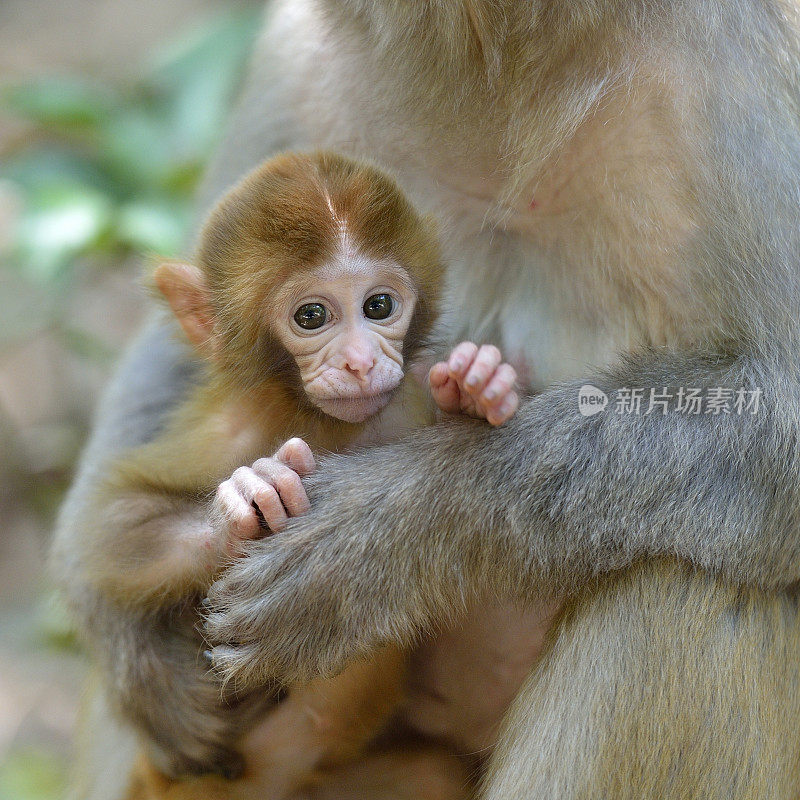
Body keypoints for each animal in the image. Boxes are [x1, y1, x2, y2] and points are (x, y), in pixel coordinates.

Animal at [95, 153, 520, 792]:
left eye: (378, 306)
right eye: (312, 316)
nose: (361, 361)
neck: (320, 421)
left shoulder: (405, 400)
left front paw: (475, 389)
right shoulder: (229, 429)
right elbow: (111, 525)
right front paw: (247, 500)